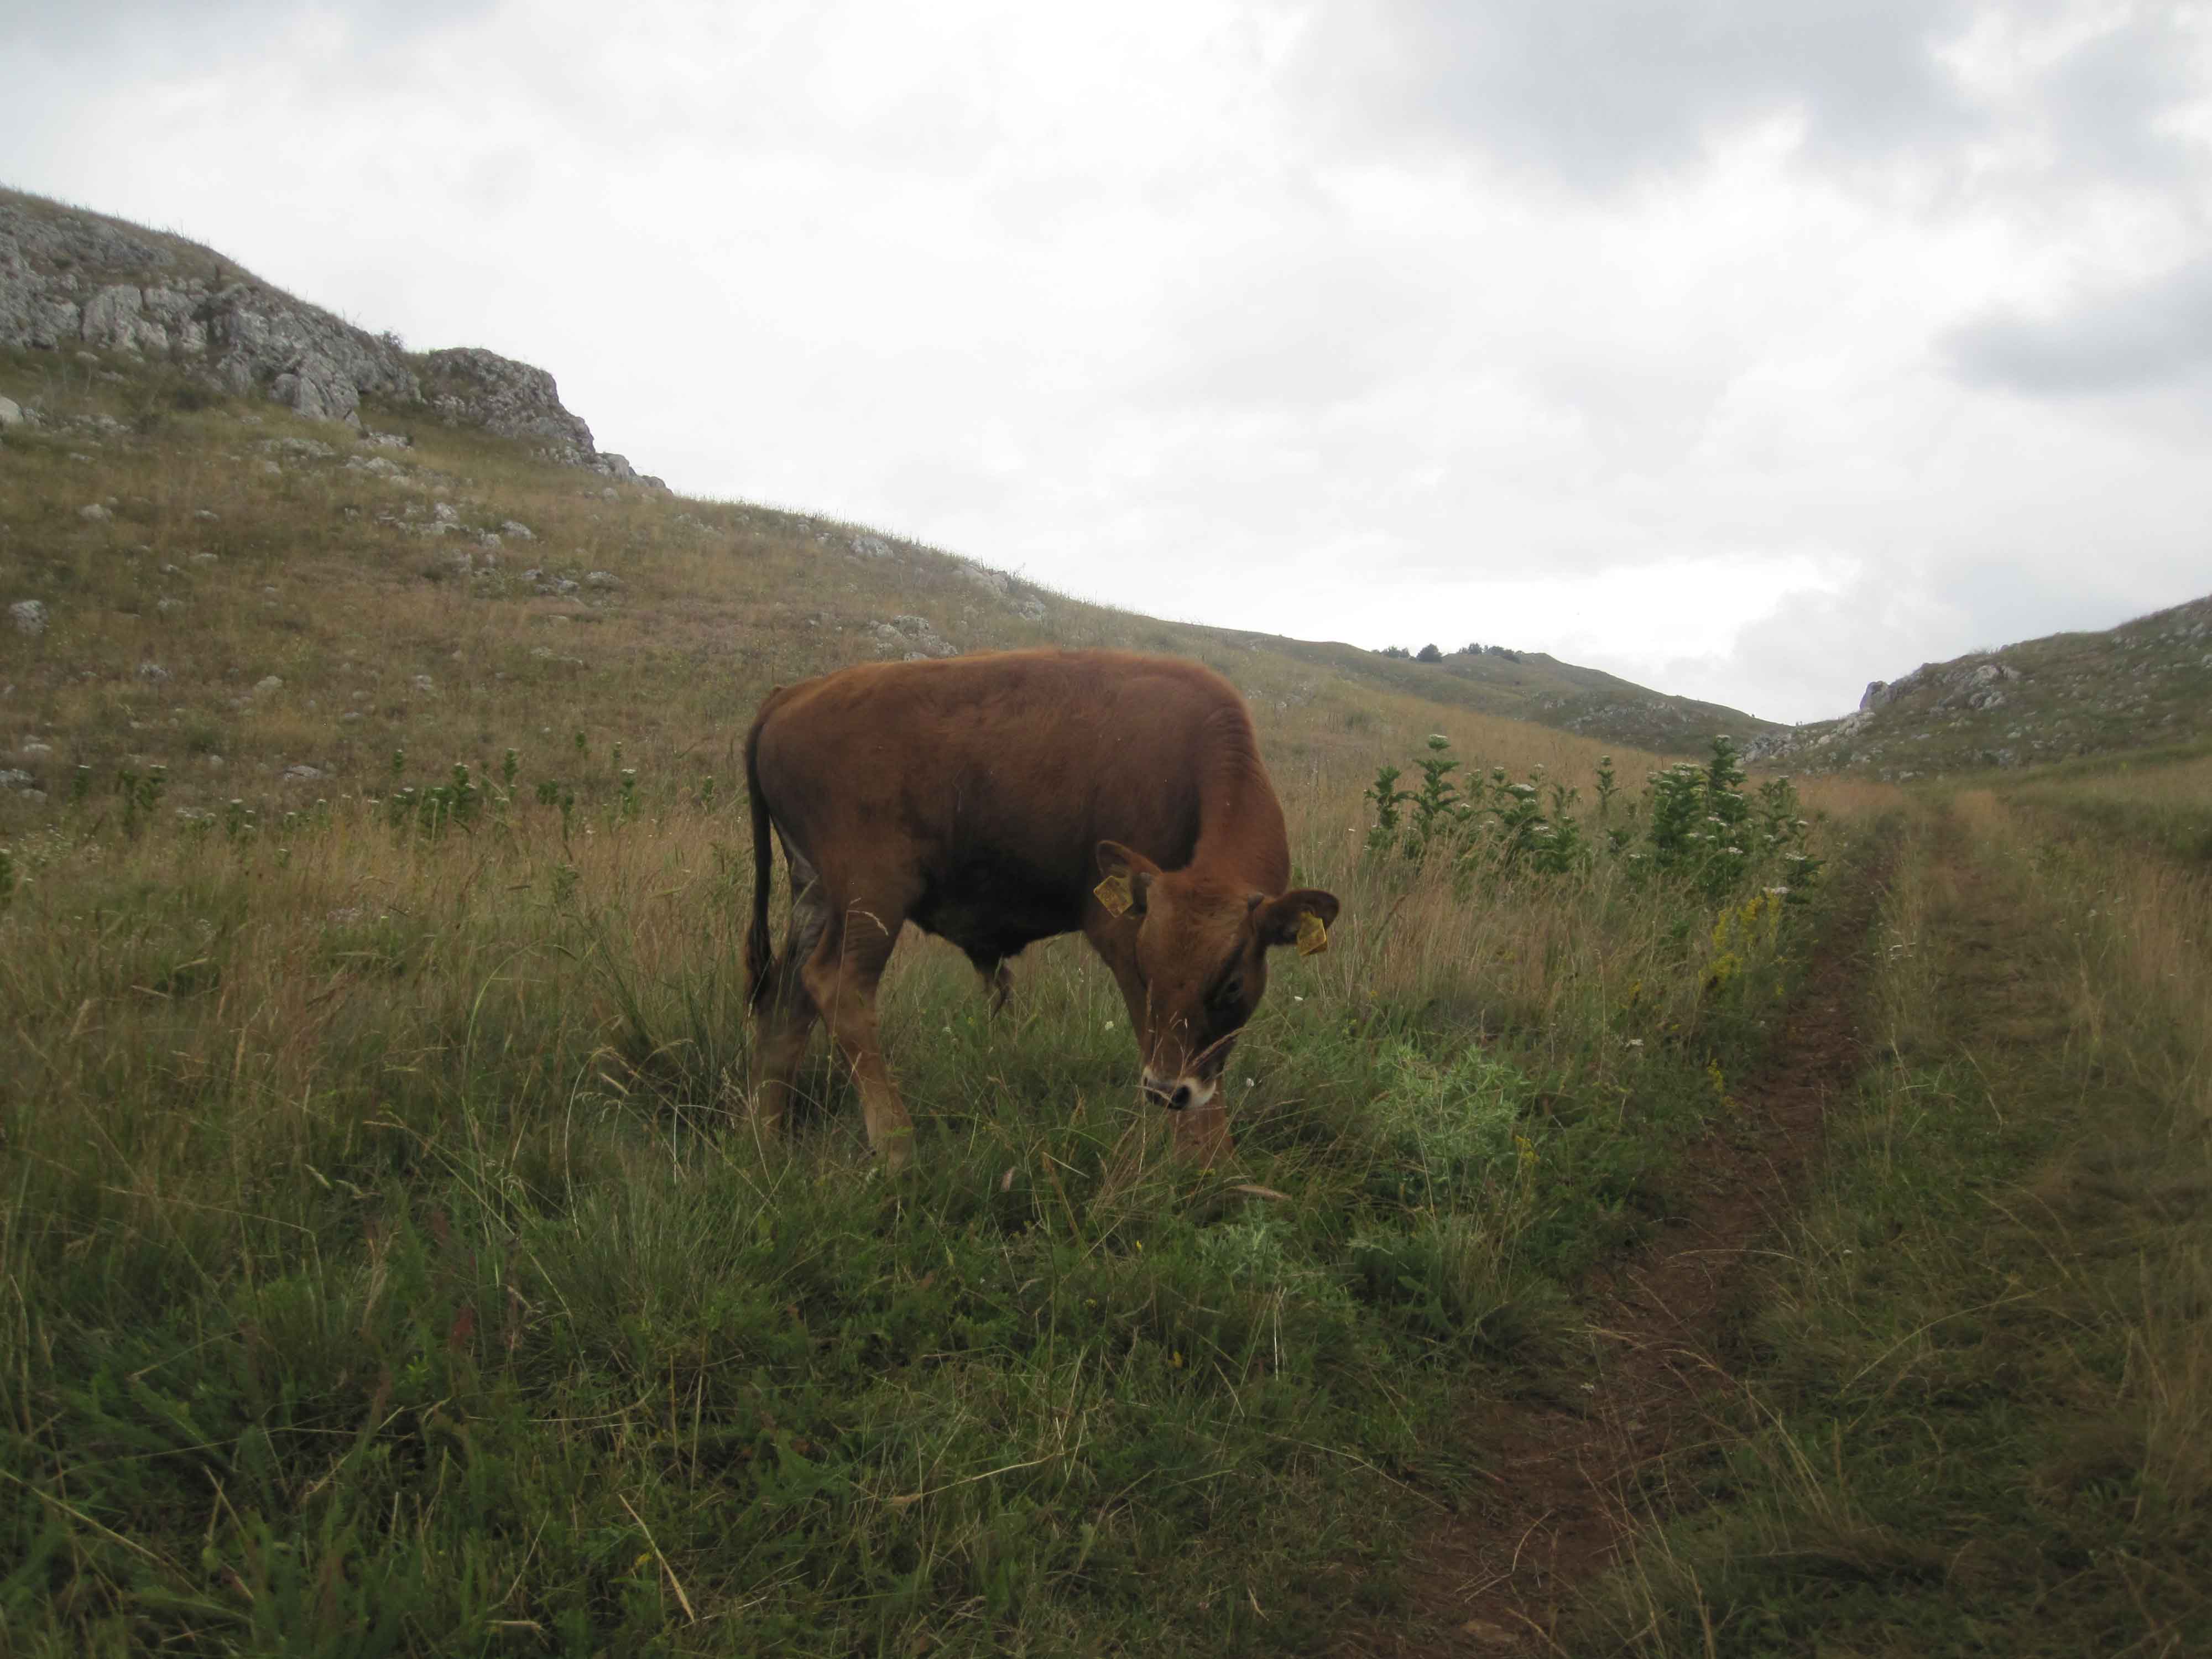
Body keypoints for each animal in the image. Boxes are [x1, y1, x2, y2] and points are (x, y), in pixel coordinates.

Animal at [742, 648, 1340, 1168]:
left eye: (1233, 984)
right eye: (1149, 965)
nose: (1166, 1092)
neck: (1192, 765)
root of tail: (790, 695)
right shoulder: (1121, 936)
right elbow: (1165, 1047)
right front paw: (1214, 1170)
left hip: (815, 895)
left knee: (785, 1000)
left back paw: (769, 1146)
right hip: (872, 899)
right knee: (837, 987)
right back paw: (896, 1149)